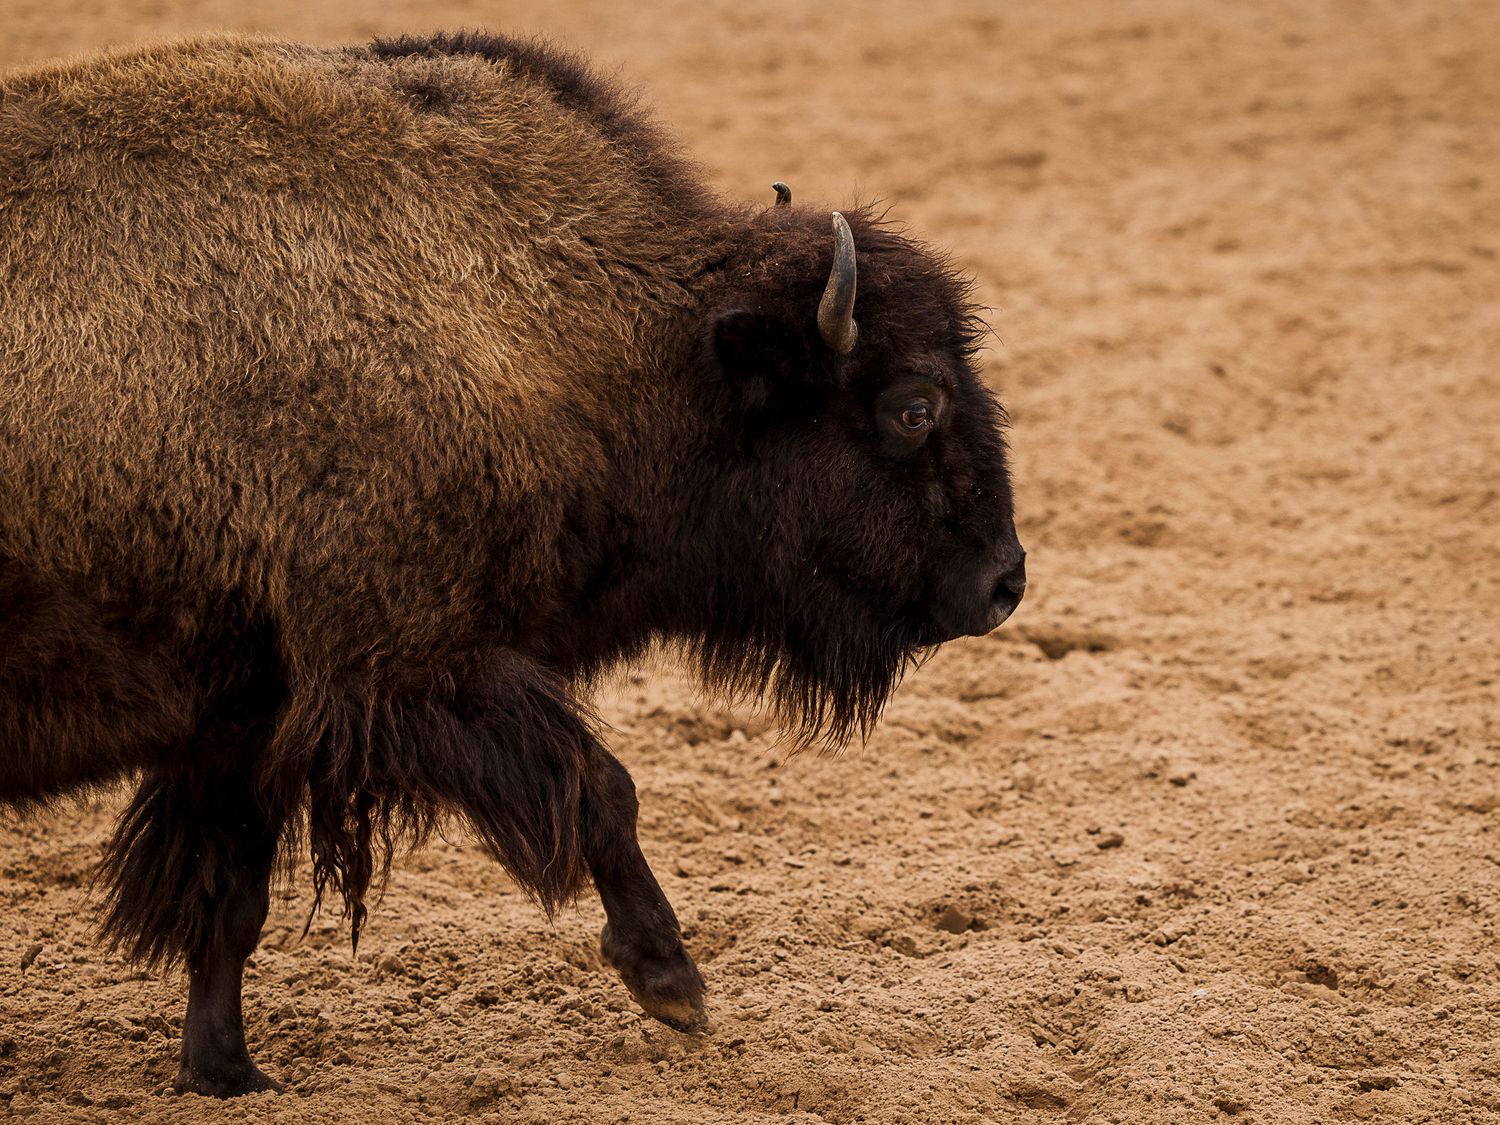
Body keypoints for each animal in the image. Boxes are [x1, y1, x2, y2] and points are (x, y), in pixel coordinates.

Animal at [0, 31, 1025, 1096]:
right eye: (913, 406)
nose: (1005, 582)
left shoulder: (247, 718)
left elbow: (228, 902)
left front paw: (228, 1070)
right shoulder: (416, 669)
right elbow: (601, 788)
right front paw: (672, 983)